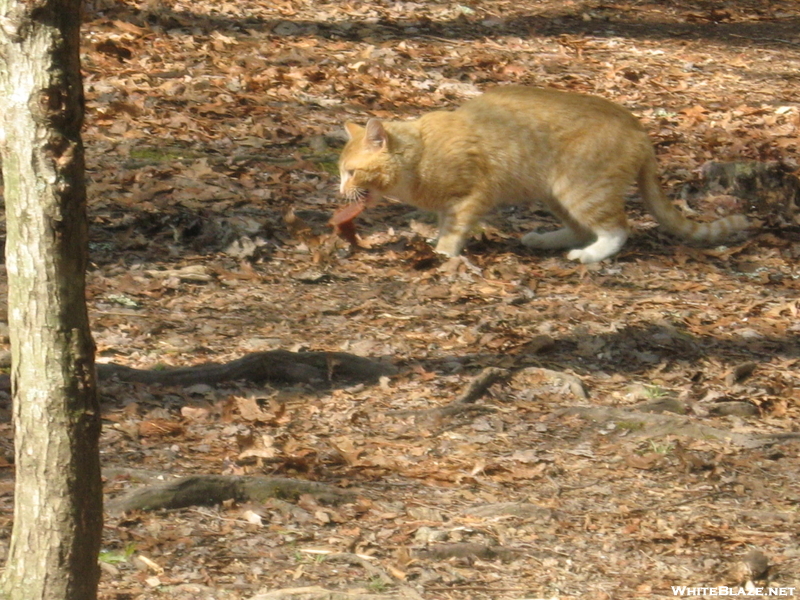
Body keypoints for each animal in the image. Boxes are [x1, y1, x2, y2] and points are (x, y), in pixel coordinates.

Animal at [338, 86, 752, 262]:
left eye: (351, 173)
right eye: (340, 173)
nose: (341, 192)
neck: (420, 153)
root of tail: (638, 126)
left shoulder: (471, 196)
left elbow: (454, 230)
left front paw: (442, 253)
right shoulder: (449, 204)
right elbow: (444, 223)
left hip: (582, 189)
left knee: (617, 228)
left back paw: (589, 255)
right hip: (555, 193)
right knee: (582, 228)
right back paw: (545, 240)